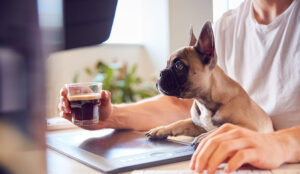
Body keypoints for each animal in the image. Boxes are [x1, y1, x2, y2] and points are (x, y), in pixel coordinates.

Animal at [146, 21, 274, 145]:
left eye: (179, 66)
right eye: (166, 64)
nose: (161, 73)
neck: (204, 101)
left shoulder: (250, 127)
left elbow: (224, 127)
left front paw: (206, 136)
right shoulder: (198, 125)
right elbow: (181, 122)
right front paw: (161, 129)